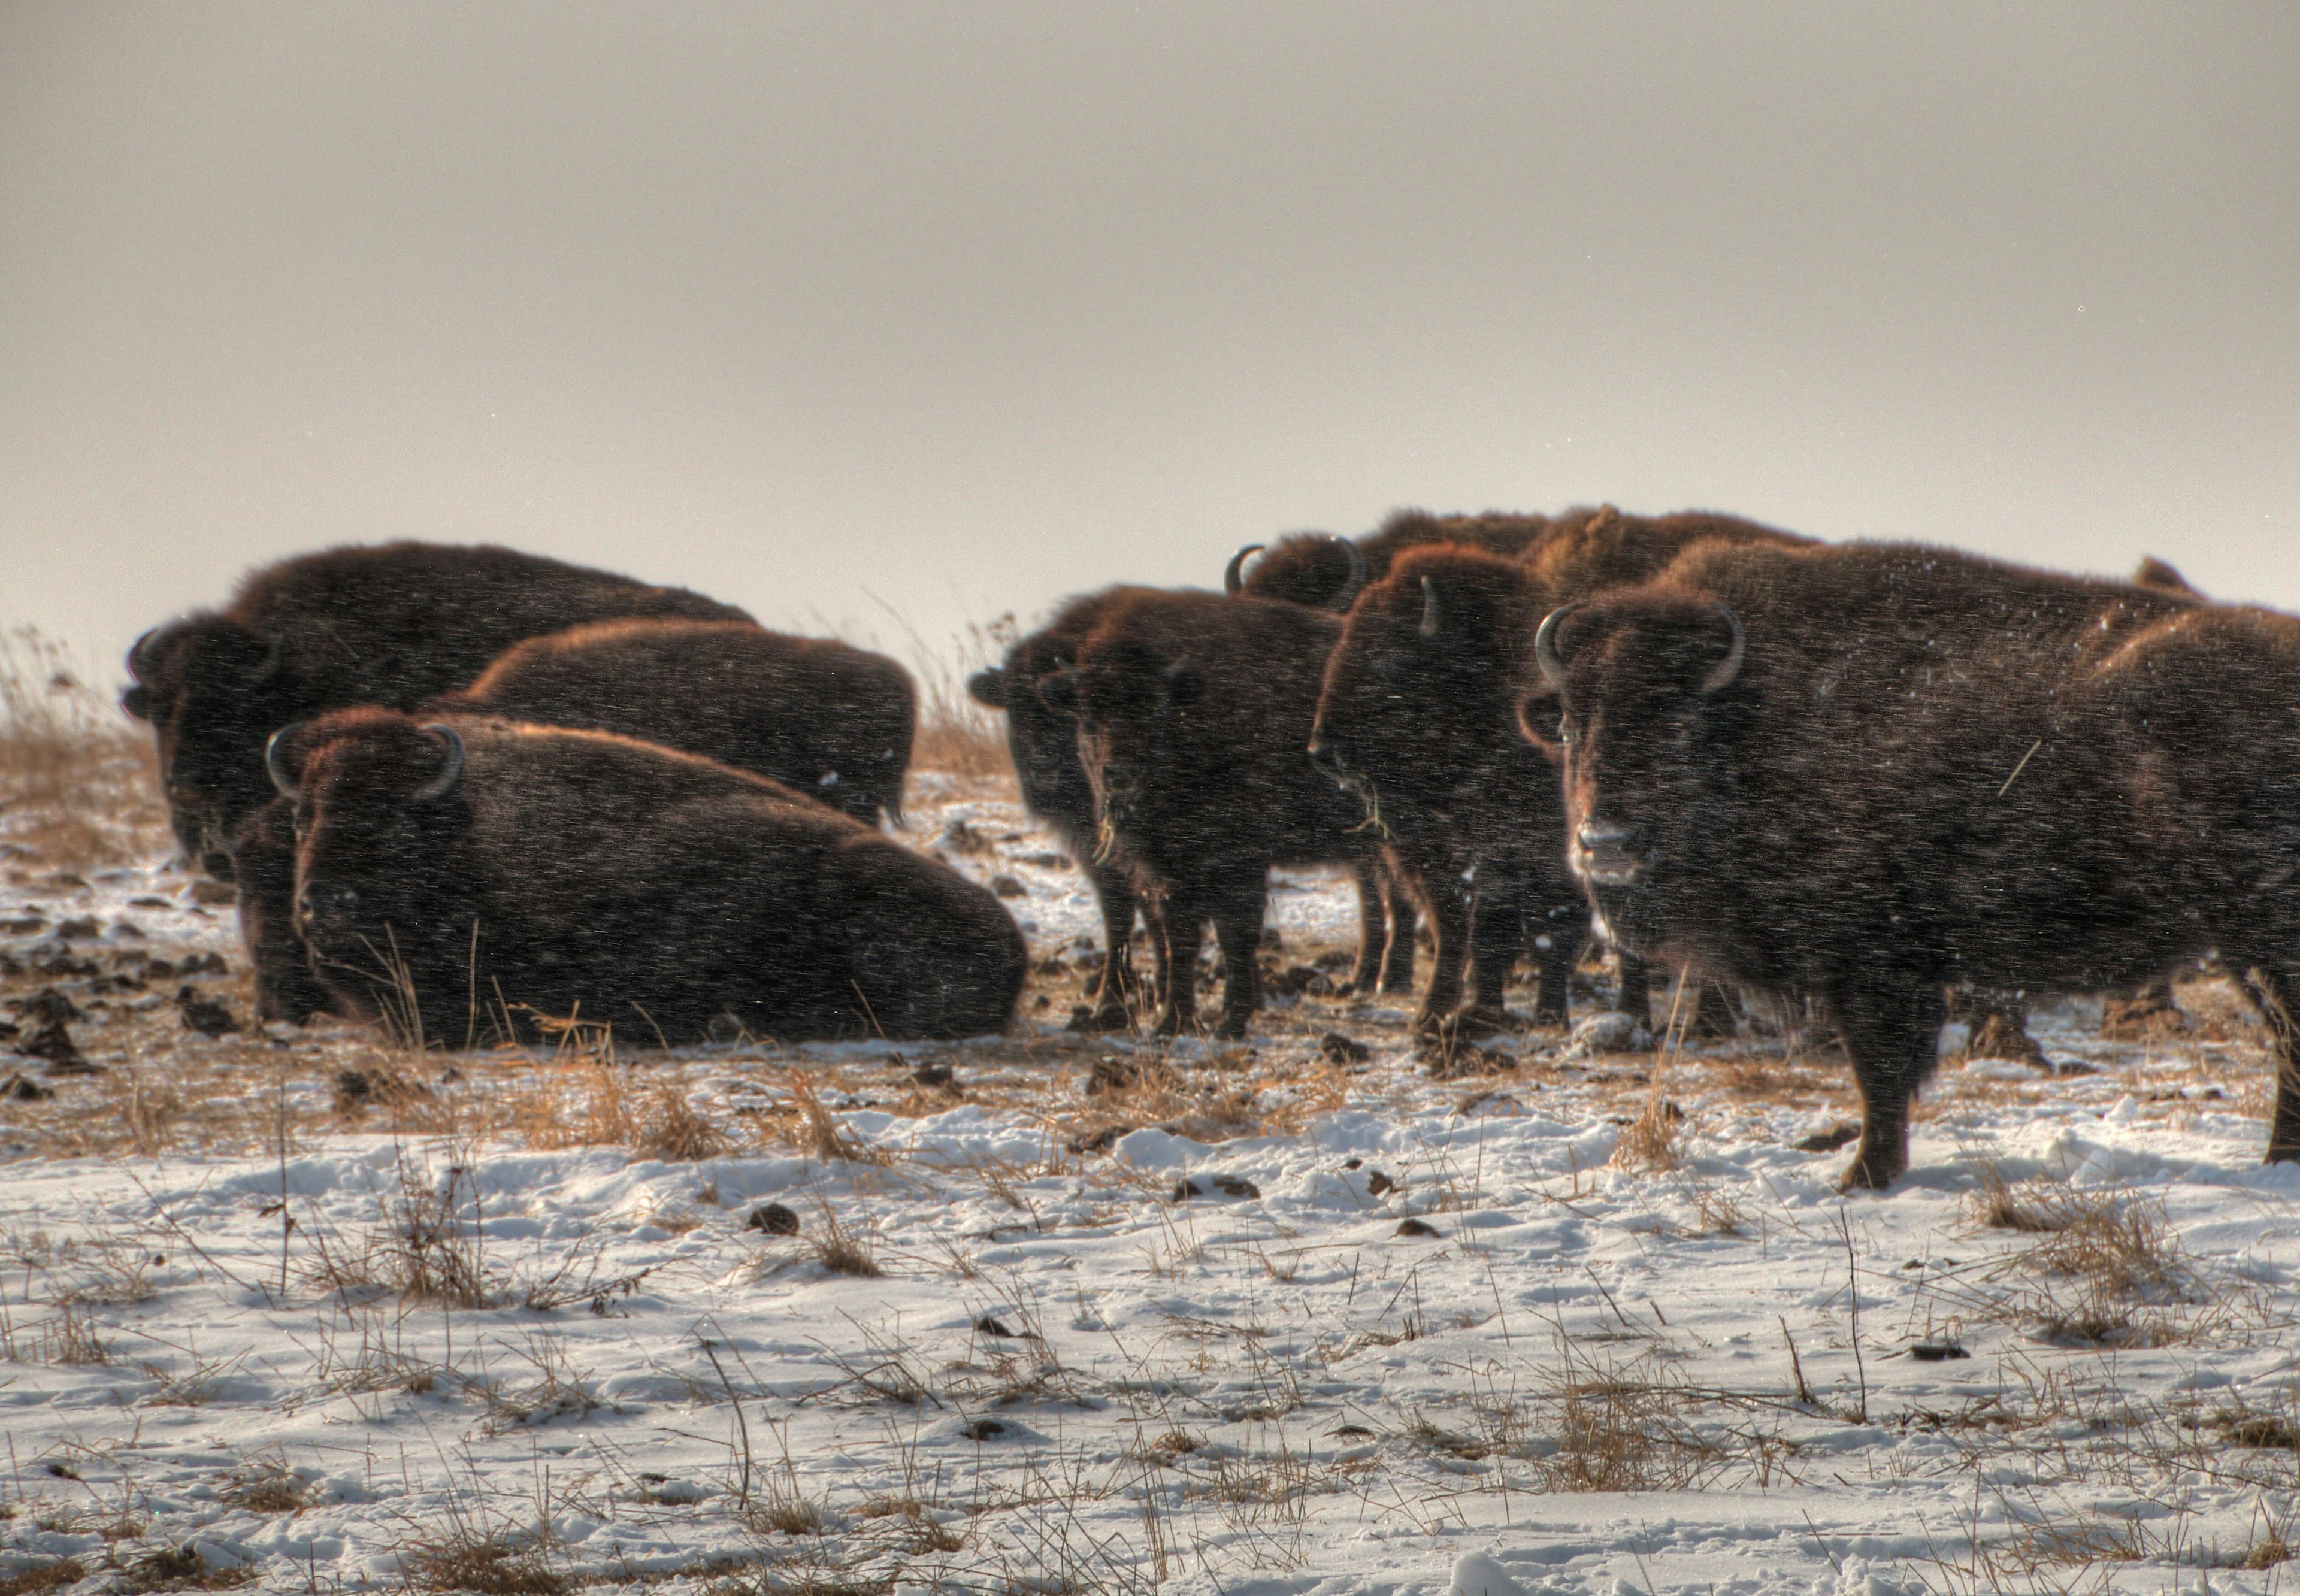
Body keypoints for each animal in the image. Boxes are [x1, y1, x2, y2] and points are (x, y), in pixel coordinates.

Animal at [1053, 593, 1389, 1044]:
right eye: (1087, 712)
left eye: (1157, 706)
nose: (1120, 772)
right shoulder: (1172, 874)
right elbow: (1182, 939)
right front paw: (1172, 1023)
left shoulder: (1238, 864)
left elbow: (1236, 937)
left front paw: (1230, 1022)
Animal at [1527, 545, 2244, 1195]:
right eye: (1567, 727)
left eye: (1678, 727)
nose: (1605, 843)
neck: (1754, 719)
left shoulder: (1874, 972)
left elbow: (1880, 1072)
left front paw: (1863, 1174)